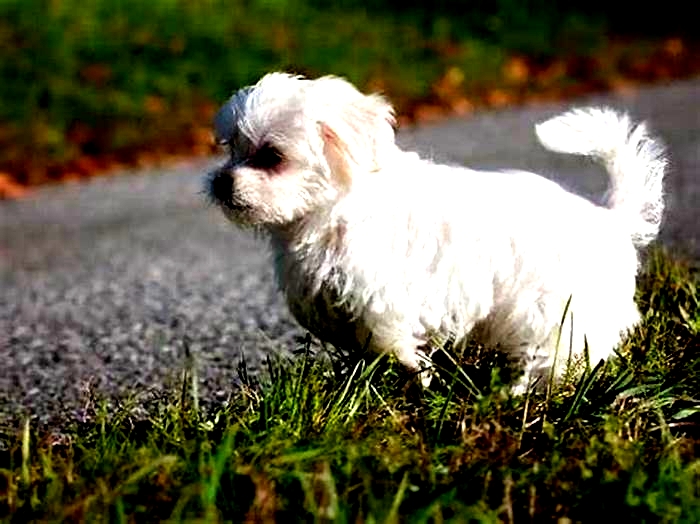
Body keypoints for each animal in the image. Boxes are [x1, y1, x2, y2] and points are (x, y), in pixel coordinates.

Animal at [204, 72, 668, 392]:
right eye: (231, 149)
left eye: (270, 156)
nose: (221, 182)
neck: (334, 207)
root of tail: (609, 218)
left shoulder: (382, 294)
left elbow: (388, 339)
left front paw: (417, 375)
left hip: (557, 308)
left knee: (562, 354)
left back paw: (522, 393)